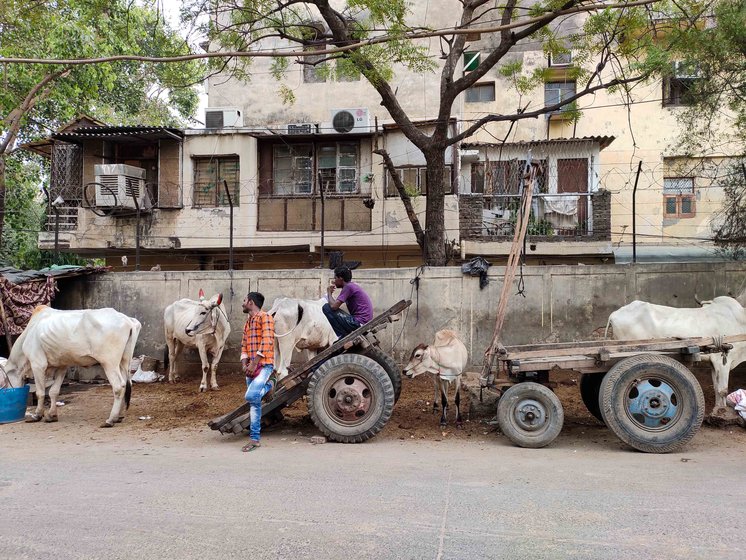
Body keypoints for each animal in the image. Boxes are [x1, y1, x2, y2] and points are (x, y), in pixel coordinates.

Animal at [0, 304, 142, 426]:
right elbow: (54, 391)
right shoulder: (62, 366)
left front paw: (37, 415)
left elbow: (40, 393)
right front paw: (52, 415)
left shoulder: (38, 364)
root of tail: (128, 321)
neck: (29, 332)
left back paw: (111, 419)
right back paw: (119, 416)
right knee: (126, 384)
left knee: (118, 387)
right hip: (124, 362)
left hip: (109, 363)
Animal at [604, 296, 744, 414]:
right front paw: (721, 412)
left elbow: (716, 387)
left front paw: (717, 409)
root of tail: (614, 314)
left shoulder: (713, 363)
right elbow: (723, 390)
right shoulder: (722, 360)